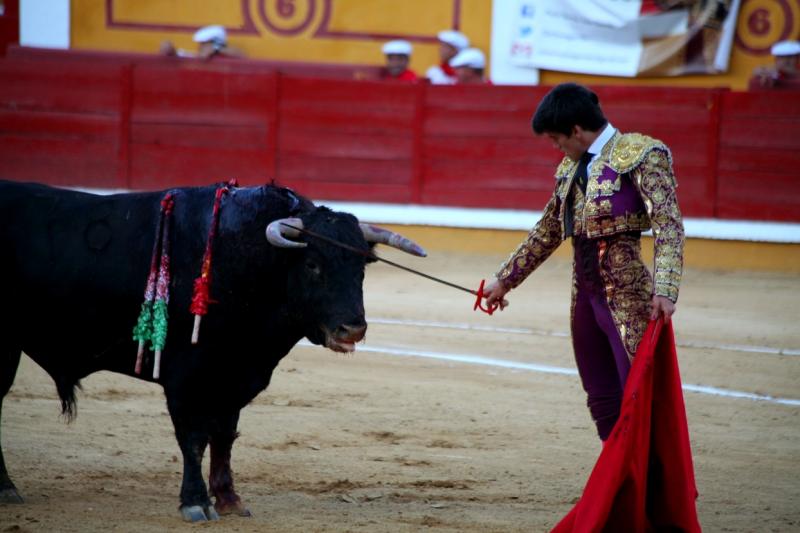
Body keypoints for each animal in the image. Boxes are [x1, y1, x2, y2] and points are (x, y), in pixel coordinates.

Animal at [0, 181, 424, 520]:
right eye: (313, 265)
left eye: (363, 266)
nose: (353, 328)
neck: (245, 262)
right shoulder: (185, 379)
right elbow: (193, 438)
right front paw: (195, 502)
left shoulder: (234, 375)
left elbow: (223, 436)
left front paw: (229, 500)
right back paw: (7, 488)